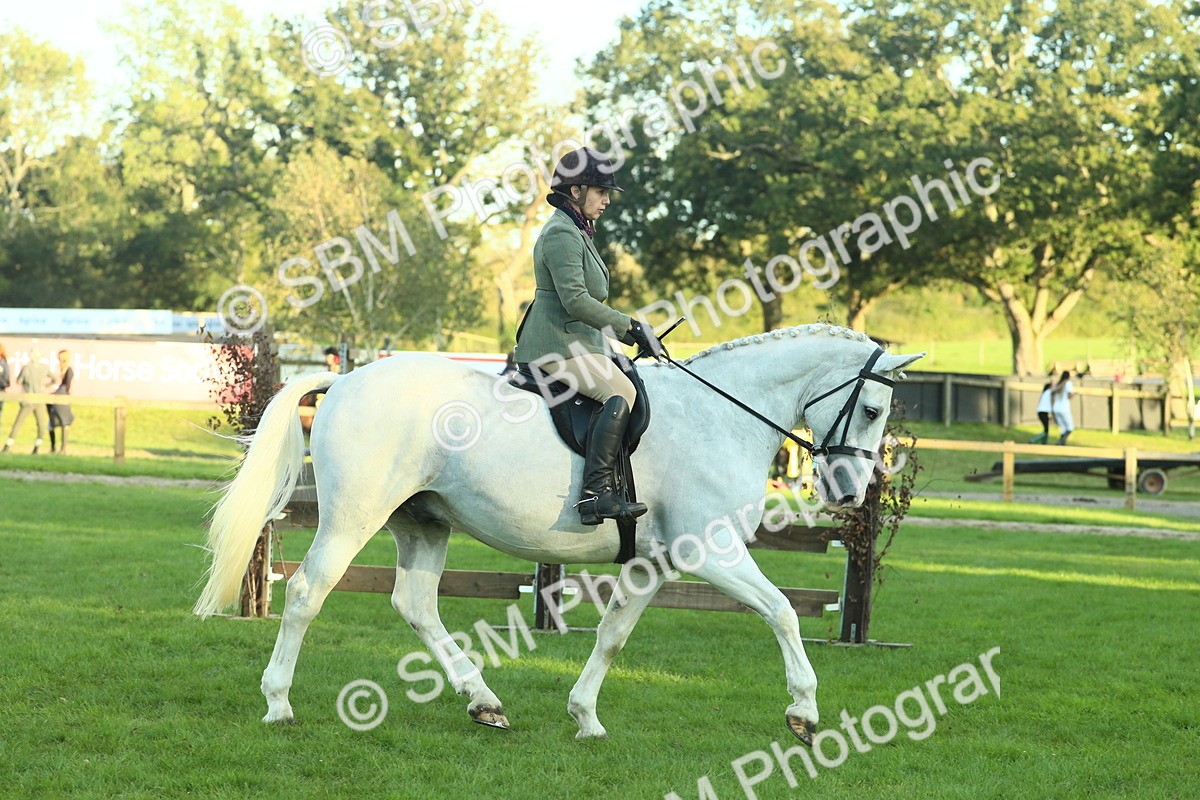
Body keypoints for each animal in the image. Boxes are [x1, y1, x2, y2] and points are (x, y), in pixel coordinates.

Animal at [194, 323, 922, 744]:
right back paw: (279, 704)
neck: (719, 414)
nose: (849, 492)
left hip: (423, 522)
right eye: (873, 408)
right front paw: (804, 712)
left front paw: (585, 716)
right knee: (307, 594)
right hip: (354, 518)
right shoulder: (711, 551)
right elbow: (782, 612)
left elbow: (613, 635)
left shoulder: (654, 564)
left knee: (416, 605)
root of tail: (344, 379)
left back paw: (484, 702)